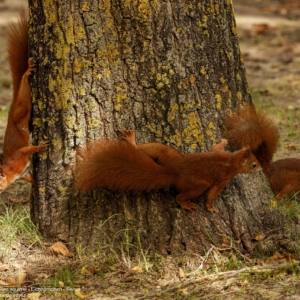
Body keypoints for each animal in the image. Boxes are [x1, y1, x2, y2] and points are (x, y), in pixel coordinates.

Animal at [0, 11, 47, 191]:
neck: (9, 172)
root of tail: (12, 107)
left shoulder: (18, 158)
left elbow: (27, 149)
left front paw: (40, 146)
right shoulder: (22, 174)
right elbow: (29, 178)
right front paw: (35, 185)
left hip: (23, 106)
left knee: (24, 89)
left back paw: (27, 73)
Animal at [75, 129, 260, 213]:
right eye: (254, 165)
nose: (261, 168)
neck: (232, 160)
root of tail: (174, 172)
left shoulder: (219, 153)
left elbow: (216, 147)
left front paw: (223, 141)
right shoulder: (223, 179)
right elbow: (212, 194)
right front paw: (211, 208)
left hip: (166, 153)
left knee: (152, 149)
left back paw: (131, 142)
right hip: (198, 184)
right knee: (180, 196)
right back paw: (186, 204)